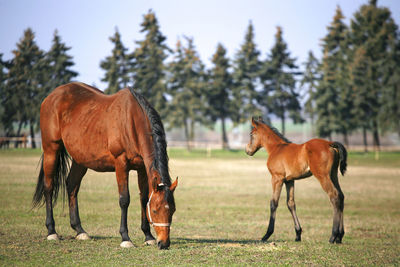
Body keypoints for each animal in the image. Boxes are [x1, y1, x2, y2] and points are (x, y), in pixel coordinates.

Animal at [33, 82, 177, 250]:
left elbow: (143, 198)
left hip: (80, 160)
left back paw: (80, 230)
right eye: (154, 210)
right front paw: (125, 238)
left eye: (172, 210)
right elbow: (124, 199)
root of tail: (51, 96)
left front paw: (148, 236)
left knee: (72, 185)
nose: (164, 243)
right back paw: (51, 231)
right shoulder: (121, 164)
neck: (132, 120)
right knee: (49, 187)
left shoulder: (142, 168)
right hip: (51, 149)